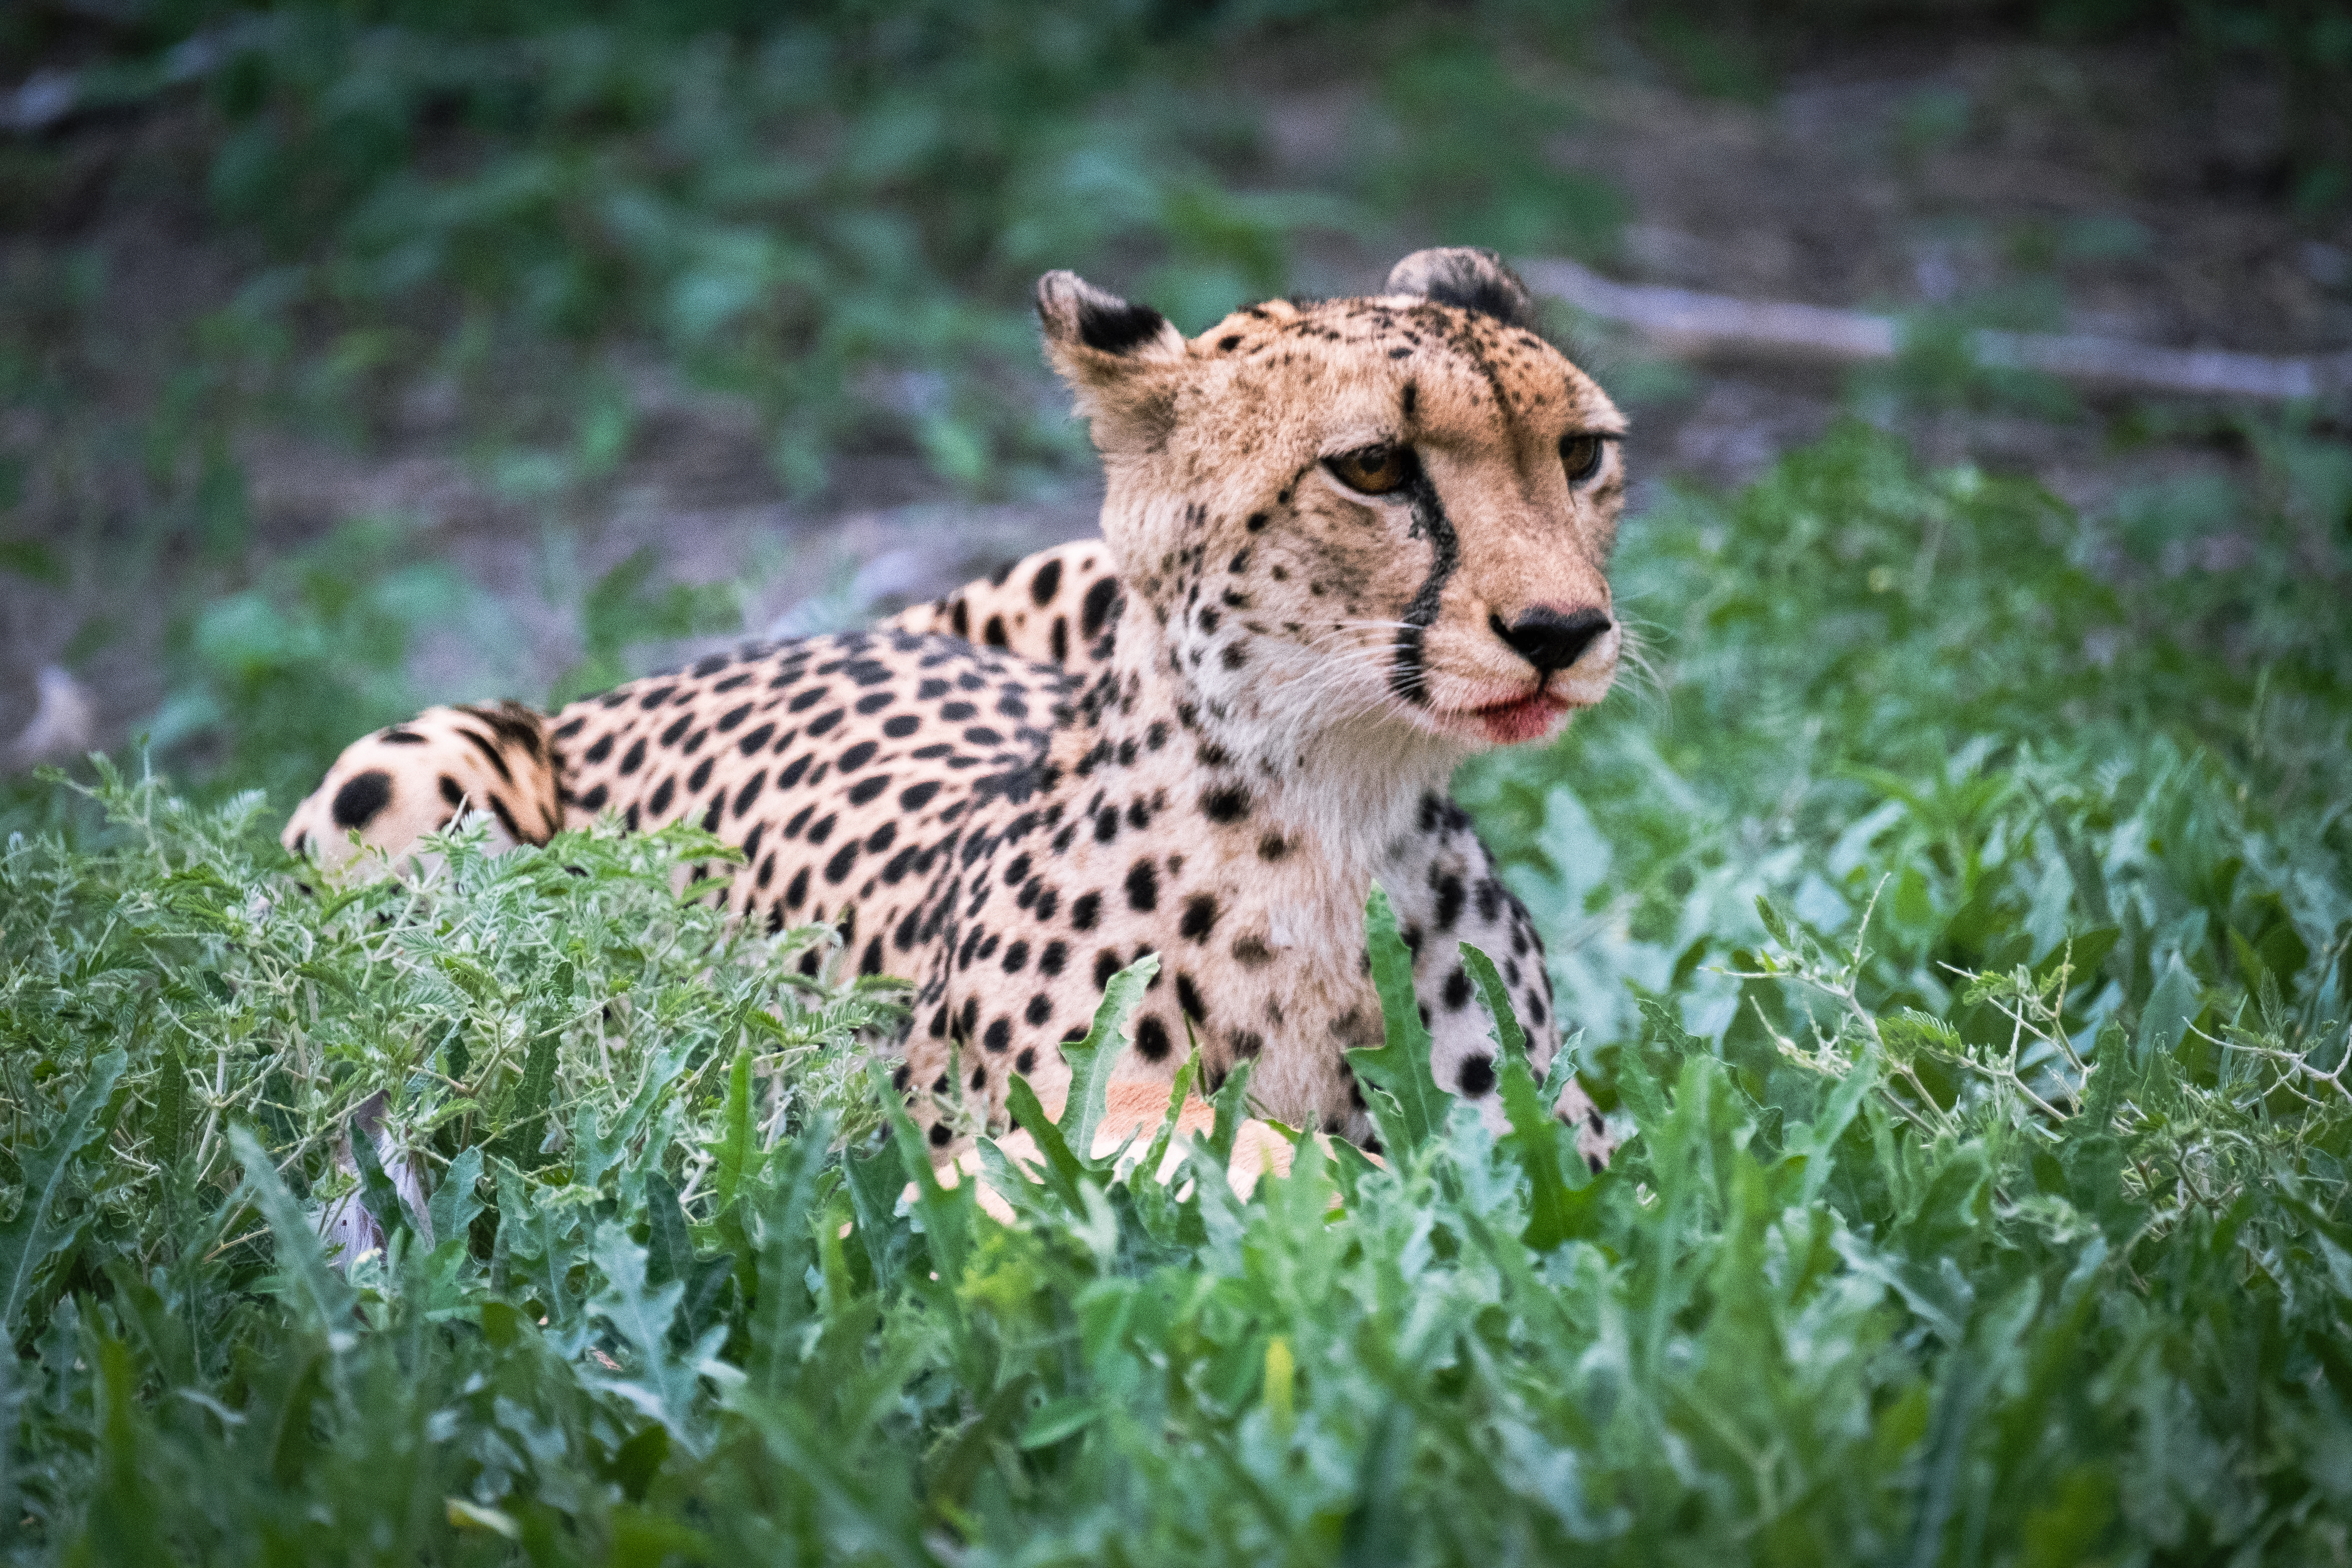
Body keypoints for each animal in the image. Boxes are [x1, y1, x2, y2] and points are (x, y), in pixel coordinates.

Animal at [284, 246, 1628, 1172]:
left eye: (1581, 454)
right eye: (1373, 466)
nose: (1562, 631)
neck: (1335, 808)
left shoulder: (1562, 1128)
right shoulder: (1043, 1121)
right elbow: (1232, 1148)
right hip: (409, 776)